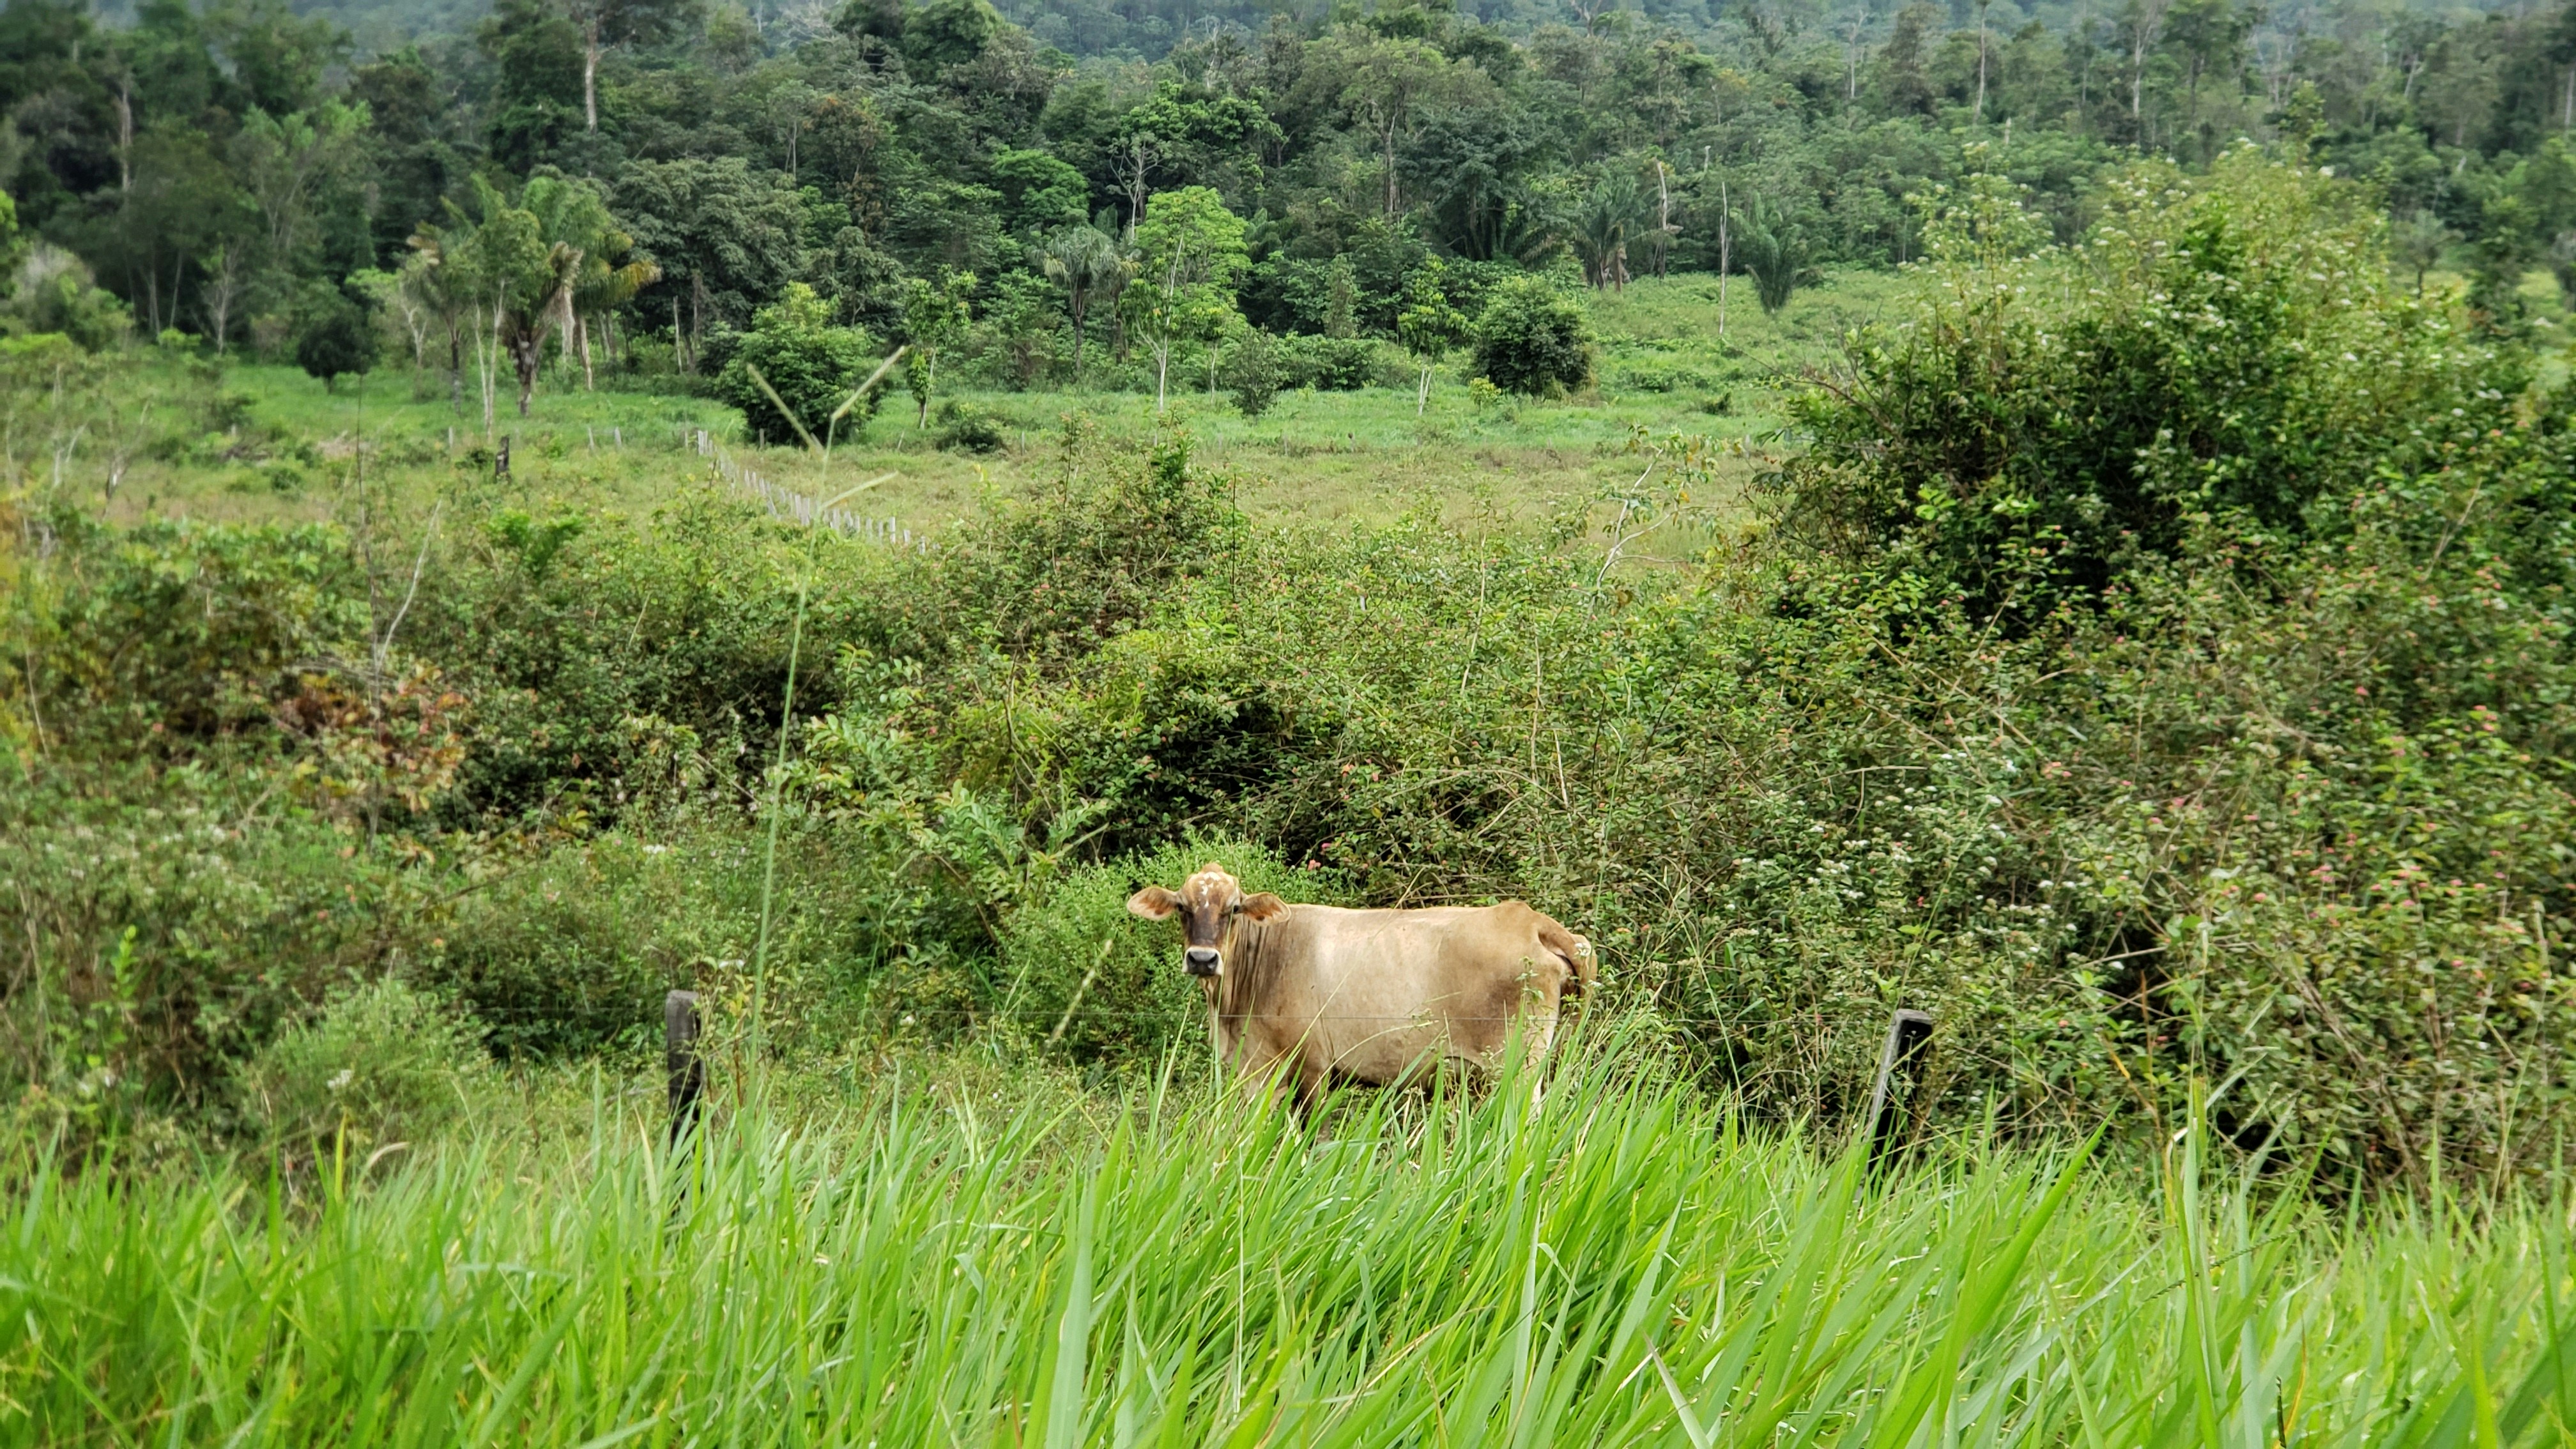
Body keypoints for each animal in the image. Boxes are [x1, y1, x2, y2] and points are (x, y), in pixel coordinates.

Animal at [1125, 863, 1594, 1110]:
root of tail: (1529, 919)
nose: (1202, 958)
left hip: (1516, 1067)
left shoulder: (1308, 1067)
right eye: (1183, 908)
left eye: (1234, 908)